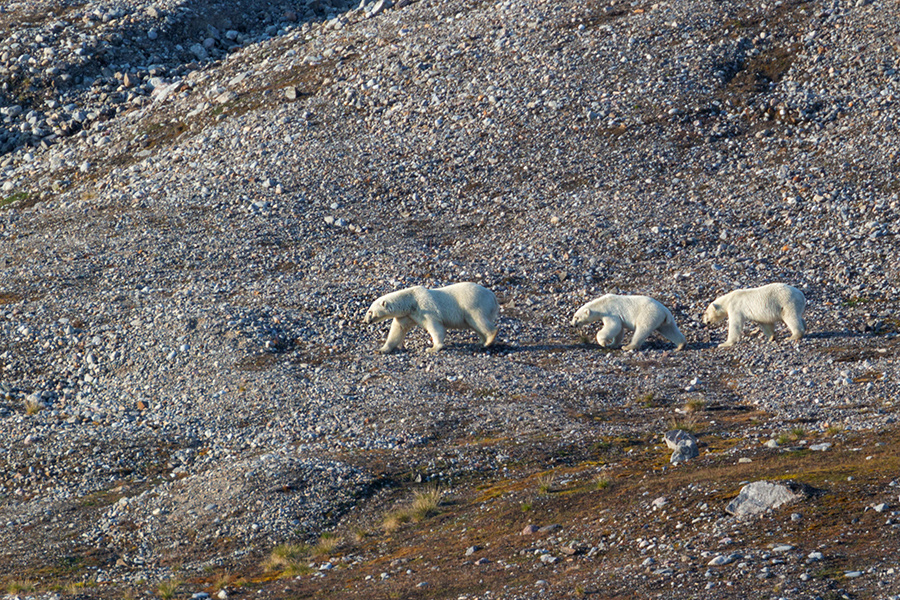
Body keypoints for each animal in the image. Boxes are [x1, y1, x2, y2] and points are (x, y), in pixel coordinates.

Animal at [364, 282, 499, 353]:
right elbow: (398, 329)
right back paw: (481, 342)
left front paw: (433, 348)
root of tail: (492, 295)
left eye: (370, 311)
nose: (365, 321)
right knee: (475, 325)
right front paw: (382, 349)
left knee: (478, 320)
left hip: (473, 303)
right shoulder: (409, 315)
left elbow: (435, 327)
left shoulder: (426, 308)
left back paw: (489, 340)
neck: (411, 301)